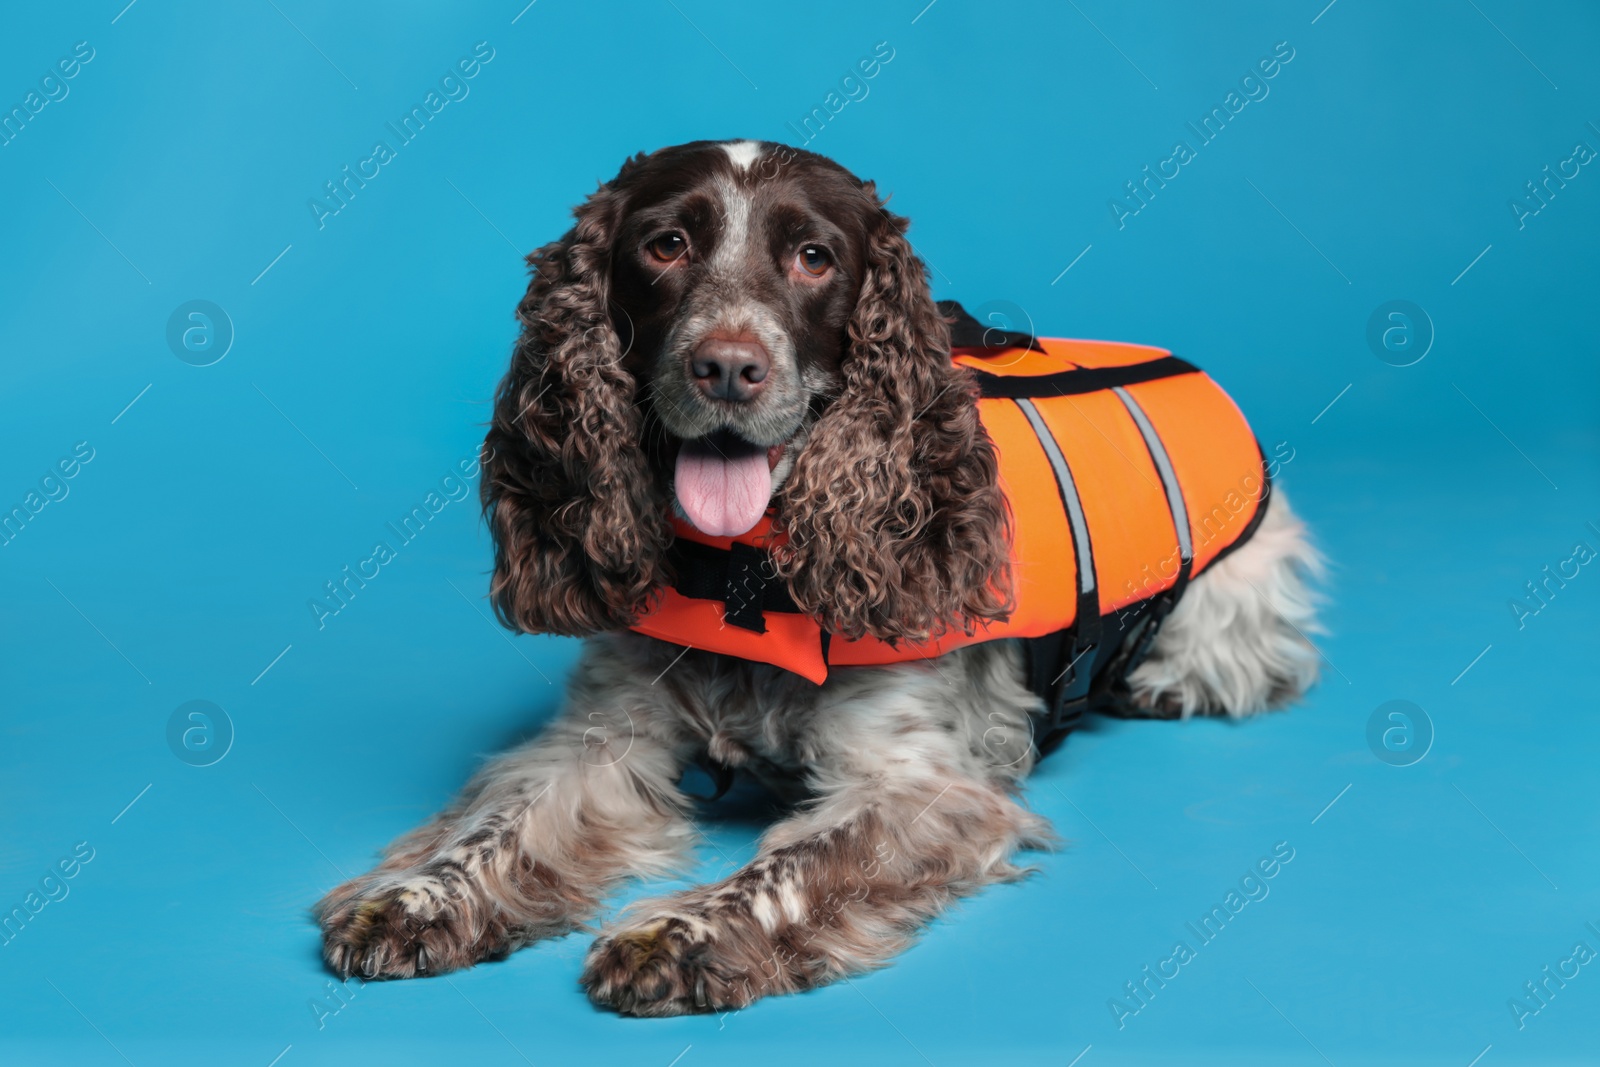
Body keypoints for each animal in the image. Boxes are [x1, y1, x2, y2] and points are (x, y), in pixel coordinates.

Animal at [312, 137, 1324, 1017]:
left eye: (812, 257)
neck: (745, 569)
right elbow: (500, 822)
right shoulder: (602, 738)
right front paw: (416, 897)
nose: (727, 367)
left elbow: (790, 865)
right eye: (666, 245)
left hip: (1233, 591)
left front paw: (679, 937)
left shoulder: (919, 784)